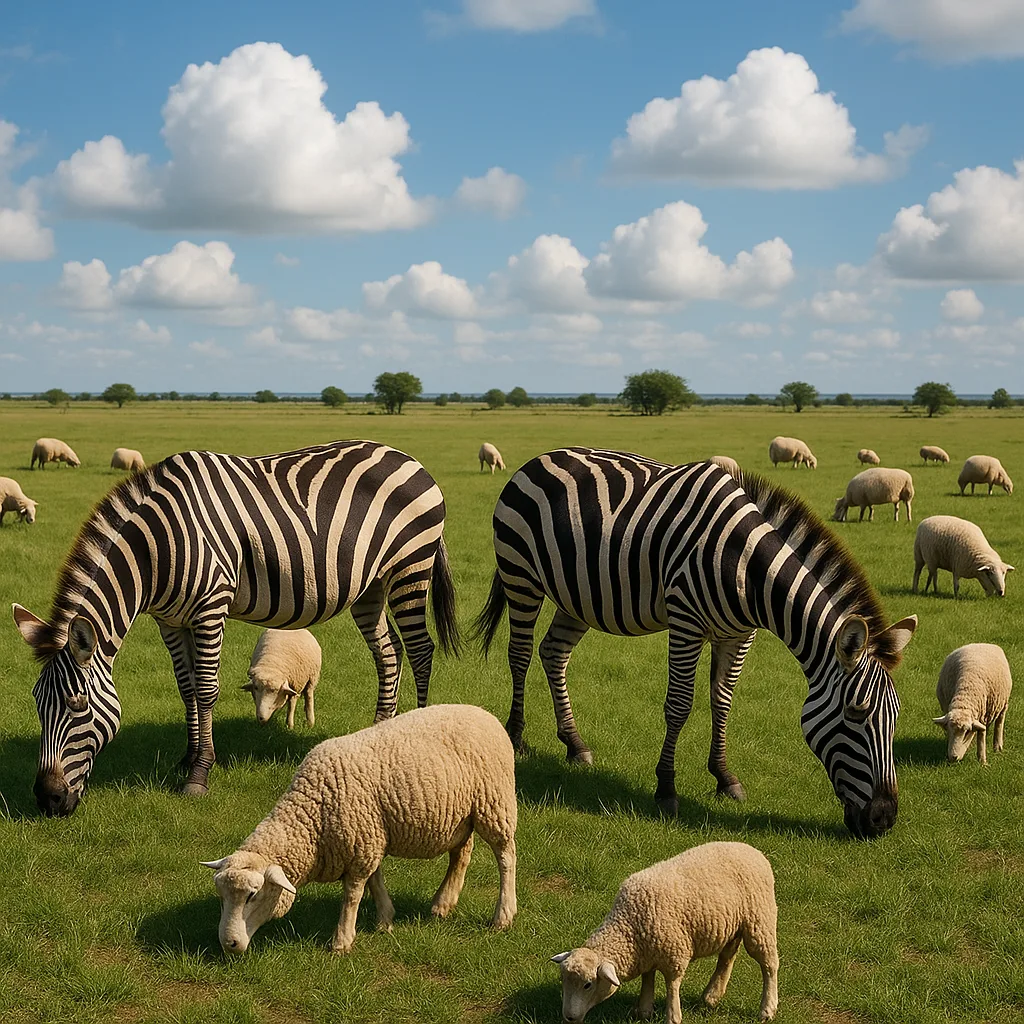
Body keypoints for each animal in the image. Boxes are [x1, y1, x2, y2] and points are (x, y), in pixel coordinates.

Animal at [13, 440, 459, 817]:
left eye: (78, 706)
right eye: (36, 703)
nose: (48, 800)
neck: (155, 549)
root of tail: (410, 459)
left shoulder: (211, 606)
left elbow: (207, 689)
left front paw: (199, 774)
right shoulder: (170, 620)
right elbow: (187, 688)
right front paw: (187, 757)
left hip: (410, 567)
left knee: (420, 650)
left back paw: (417, 733)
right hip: (371, 585)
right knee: (389, 652)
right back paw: (380, 731)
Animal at [201, 704, 517, 955]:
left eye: (252, 895)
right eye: (222, 897)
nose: (228, 944)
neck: (313, 814)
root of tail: (484, 713)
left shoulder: (361, 845)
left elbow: (353, 894)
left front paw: (342, 941)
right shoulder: (368, 838)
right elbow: (375, 882)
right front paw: (385, 920)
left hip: (494, 804)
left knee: (506, 858)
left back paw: (503, 916)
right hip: (461, 817)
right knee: (461, 855)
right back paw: (443, 904)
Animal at [474, 447, 917, 840]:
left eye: (896, 717)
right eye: (856, 714)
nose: (884, 819)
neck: (747, 566)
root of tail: (540, 457)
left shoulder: (739, 634)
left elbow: (722, 703)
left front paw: (724, 778)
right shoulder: (685, 620)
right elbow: (680, 704)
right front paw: (666, 788)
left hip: (578, 596)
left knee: (554, 653)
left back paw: (574, 743)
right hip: (521, 576)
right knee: (520, 654)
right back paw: (516, 738)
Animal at [552, 841, 778, 1024]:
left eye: (588, 985)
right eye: (563, 980)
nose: (569, 1018)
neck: (629, 925)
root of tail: (752, 850)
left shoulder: (674, 954)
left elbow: (672, 985)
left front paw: (673, 1016)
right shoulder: (647, 953)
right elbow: (648, 979)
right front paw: (644, 1010)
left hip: (760, 921)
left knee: (769, 965)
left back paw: (767, 1009)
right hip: (733, 926)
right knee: (727, 957)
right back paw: (711, 996)